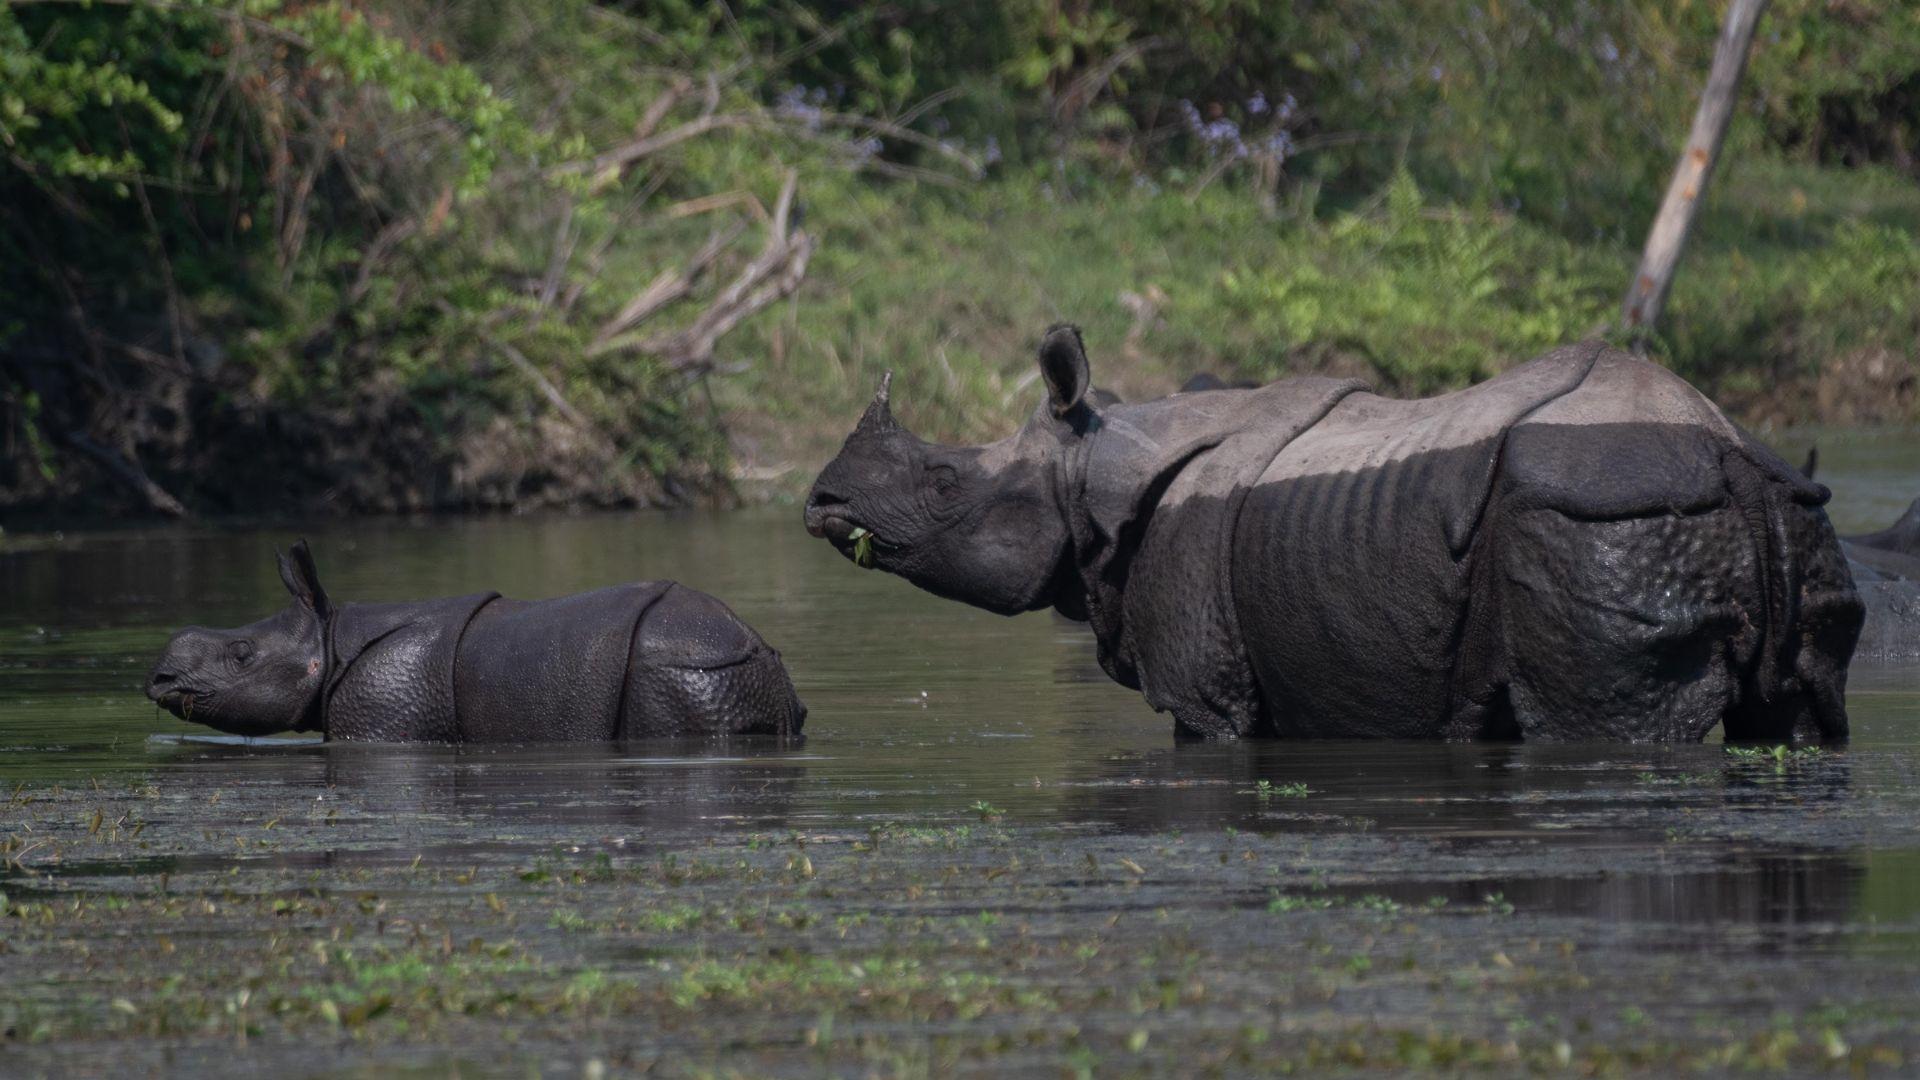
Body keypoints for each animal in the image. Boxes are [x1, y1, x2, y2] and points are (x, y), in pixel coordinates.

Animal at [145, 542, 805, 742]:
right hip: (720, 670)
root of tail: (754, 646)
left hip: (682, 671)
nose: (159, 680)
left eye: (242, 656)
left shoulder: (386, 714)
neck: (329, 639)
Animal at [805, 327, 1863, 742]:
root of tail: (1729, 455)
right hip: (1783, 513)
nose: (823, 502)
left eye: (944, 481)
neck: (1097, 462)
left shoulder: (1206, 680)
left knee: (1609, 734)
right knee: (1800, 717)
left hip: (1606, 513)